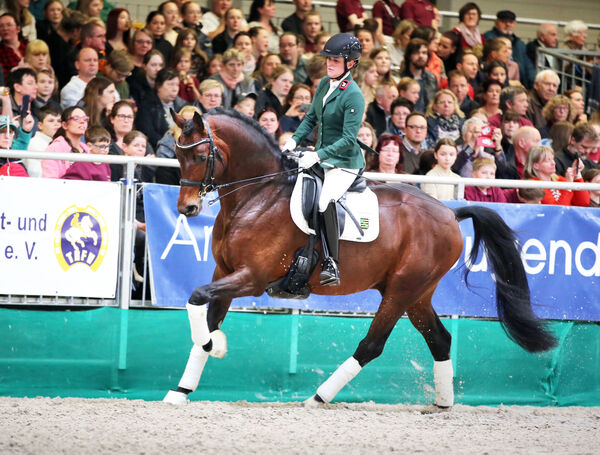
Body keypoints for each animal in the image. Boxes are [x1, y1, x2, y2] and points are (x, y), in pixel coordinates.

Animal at [162, 109, 556, 410]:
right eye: (177, 156)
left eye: (200, 157)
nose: (187, 209)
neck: (256, 196)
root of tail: (450, 212)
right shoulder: (224, 271)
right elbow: (205, 313)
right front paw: (181, 390)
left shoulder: (252, 277)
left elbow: (196, 298)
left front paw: (215, 346)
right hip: (417, 294)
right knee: (440, 339)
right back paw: (443, 403)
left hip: (401, 290)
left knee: (372, 345)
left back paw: (317, 398)